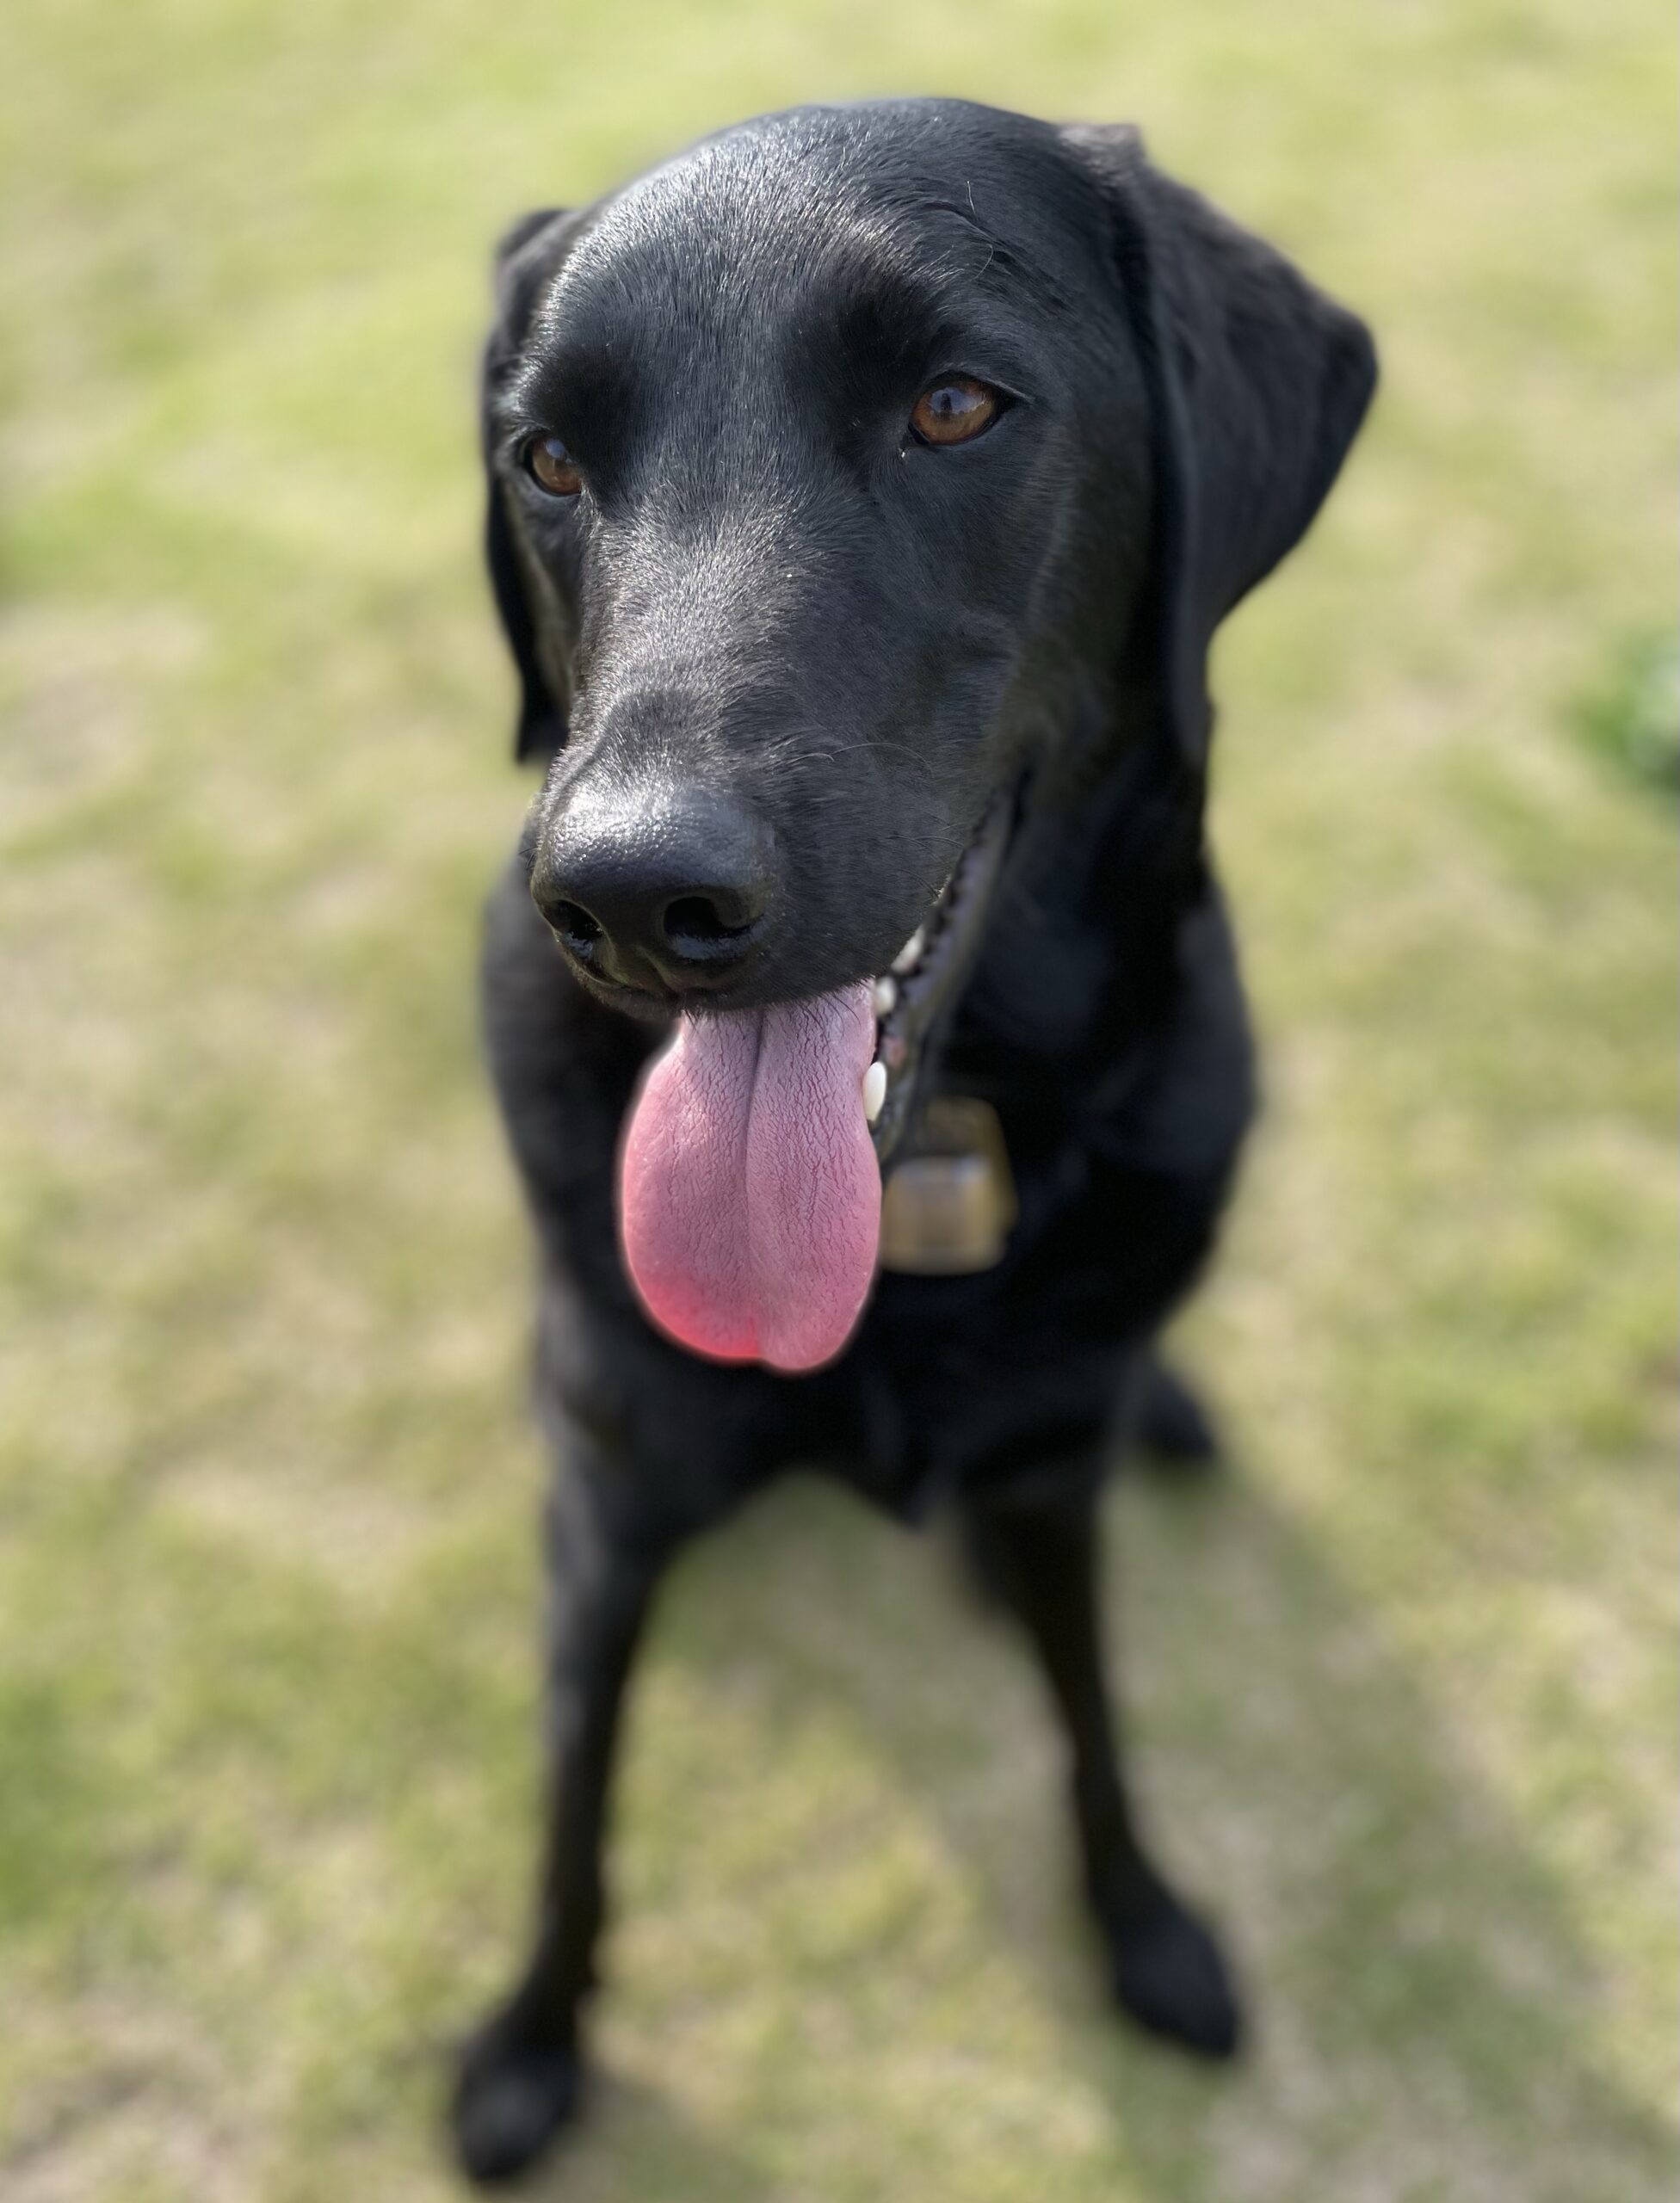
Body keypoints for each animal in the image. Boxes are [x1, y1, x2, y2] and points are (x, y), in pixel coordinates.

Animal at [451, 98, 1375, 2184]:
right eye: (549, 459)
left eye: (954, 407)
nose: (625, 893)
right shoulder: (611, 1504)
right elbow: (569, 1799)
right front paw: (530, 2042)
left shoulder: (1046, 1477)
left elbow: (1094, 1715)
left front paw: (1144, 1926)